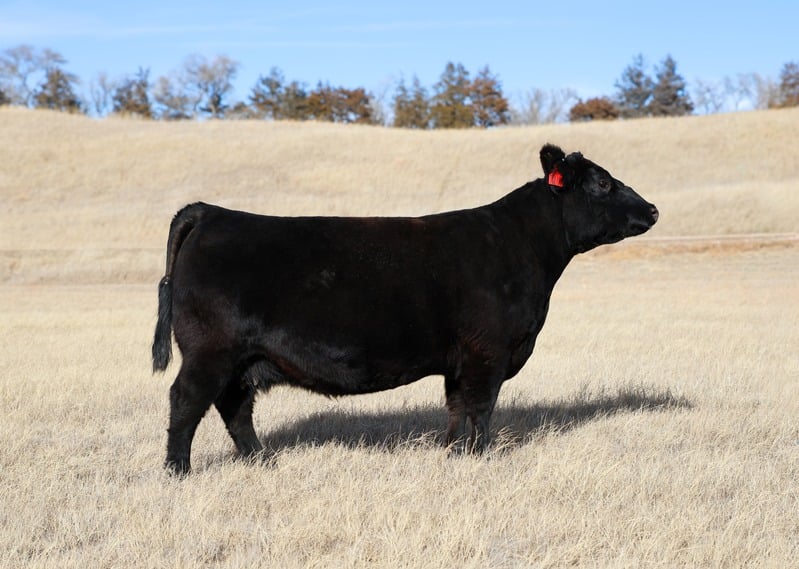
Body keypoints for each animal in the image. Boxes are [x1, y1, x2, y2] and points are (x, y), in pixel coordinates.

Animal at [152, 144, 658, 474]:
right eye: (603, 182)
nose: (653, 209)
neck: (522, 247)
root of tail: (212, 212)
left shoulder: (461, 360)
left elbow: (457, 410)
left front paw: (454, 456)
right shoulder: (487, 352)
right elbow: (481, 409)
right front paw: (480, 460)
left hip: (239, 360)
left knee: (234, 407)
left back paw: (262, 462)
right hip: (210, 351)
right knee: (187, 400)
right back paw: (179, 472)